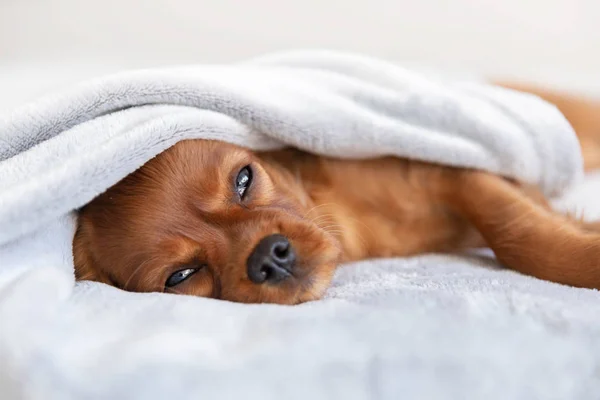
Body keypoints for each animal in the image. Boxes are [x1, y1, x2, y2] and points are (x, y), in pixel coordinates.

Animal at [72, 83, 600, 304]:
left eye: (244, 180)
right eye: (181, 275)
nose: (270, 257)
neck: (349, 218)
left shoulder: (454, 169)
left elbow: (517, 233)